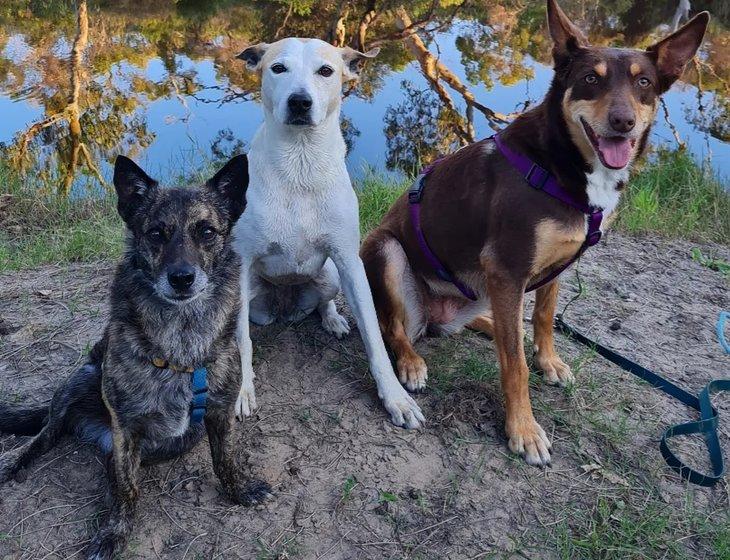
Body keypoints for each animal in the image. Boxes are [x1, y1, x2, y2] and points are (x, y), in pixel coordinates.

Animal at [0, 155, 270, 560]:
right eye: (155, 233)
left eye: (207, 231)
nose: (182, 278)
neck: (182, 336)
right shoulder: (126, 426)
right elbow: (129, 487)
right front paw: (114, 533)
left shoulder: (220, 413)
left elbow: (226, 459)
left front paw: (240, 490)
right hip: (79, 381)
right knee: (46, 434)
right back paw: (17, 460)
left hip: (176, 438)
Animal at [233, 38, 424, 428]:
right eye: (278, 68)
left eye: (326, 71)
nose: (299, 102)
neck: (300, 160)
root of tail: (285, 306)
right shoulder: (242, 262)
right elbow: (243, 340)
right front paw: (243, 390)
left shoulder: (349, 261)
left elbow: (374, 338)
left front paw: (395, 398)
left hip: (331, 275)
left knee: (324, 301)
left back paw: (333, 319)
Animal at [362, 0, 708, 466]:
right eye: (590, 79)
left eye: (644, 82)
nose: (623, 122)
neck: (560, 164)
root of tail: (434, 317)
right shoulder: (507, 269)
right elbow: (514, 364)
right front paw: (523, 429)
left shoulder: (555, 263)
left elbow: (543, 317)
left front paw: (549, 360)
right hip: (385, 248)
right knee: (394, 328)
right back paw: (412, 361)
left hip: (482, 290)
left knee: (488, 322)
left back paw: (491, 324)